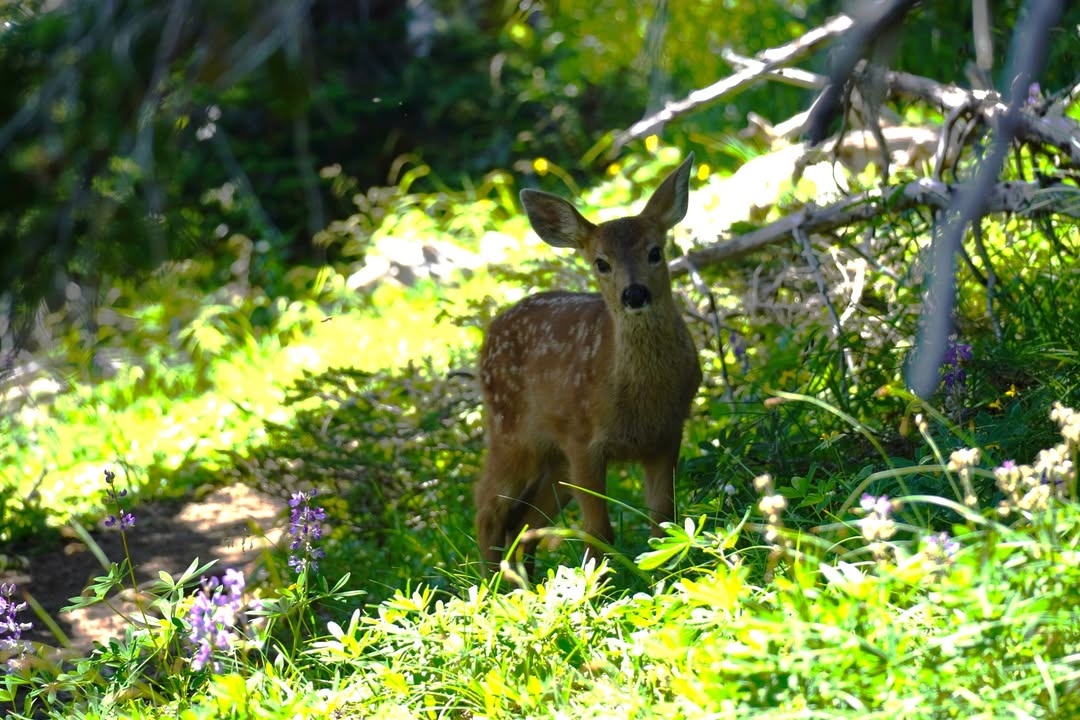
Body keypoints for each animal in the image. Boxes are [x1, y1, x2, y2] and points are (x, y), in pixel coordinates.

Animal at [475, 153, 702, 575]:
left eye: (655, 251)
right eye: (601, 263)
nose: (634, 294)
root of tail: (490, 331)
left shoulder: (667, 433)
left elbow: (663, 520)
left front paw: (666, 574)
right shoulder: (581, 438)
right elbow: (598, 530)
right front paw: (600, 584)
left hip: (553, 460)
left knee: (523, 519)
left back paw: (522, 581)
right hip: (511, 433)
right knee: (487, 507)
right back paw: (488, 584)